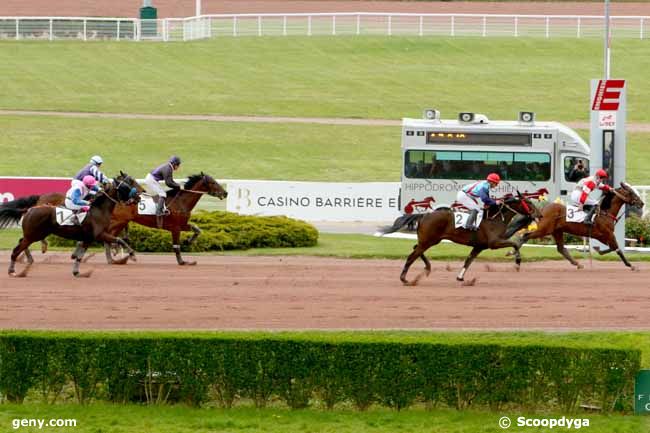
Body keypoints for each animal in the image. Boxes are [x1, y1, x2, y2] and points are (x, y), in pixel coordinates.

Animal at [0, 172, 140, 276]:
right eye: (126, 186)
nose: (138, 197)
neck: (99, 210)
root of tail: (29, 209)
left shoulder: (89, 238)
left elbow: (80, 256)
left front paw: (76, 271)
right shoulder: (100, 234)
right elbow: (119, 240)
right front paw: (132, 255)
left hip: (35, 234)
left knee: (20, 243)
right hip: (33, 235)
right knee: (16, 250)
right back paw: (13, 270)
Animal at [378, 191, 544, 286]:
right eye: (528, 202)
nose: (540, 215)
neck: (496, 218)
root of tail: (425, 214)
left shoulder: (479, 246)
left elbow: (468, 260)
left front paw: (460, 277)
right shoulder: (494, 243)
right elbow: (514, 244)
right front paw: (517, 261)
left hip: (429, 240)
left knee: (416, 250)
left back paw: (427, 268)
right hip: (429, 240)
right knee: (412, 256)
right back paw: (405, 279)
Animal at [516, 182, 644, 270]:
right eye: (631, 192)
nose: (641, 203)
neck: (605, 212)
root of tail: (542, 209)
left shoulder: (601, 235)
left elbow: (612, 248)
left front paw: (598, 251)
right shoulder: (608, 234)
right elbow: (617, 249)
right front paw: (630, 265)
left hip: (557, 231)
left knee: (561, 248)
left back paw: (577, 264)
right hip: (544, 229)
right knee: (525, 236)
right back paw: (515, 255)